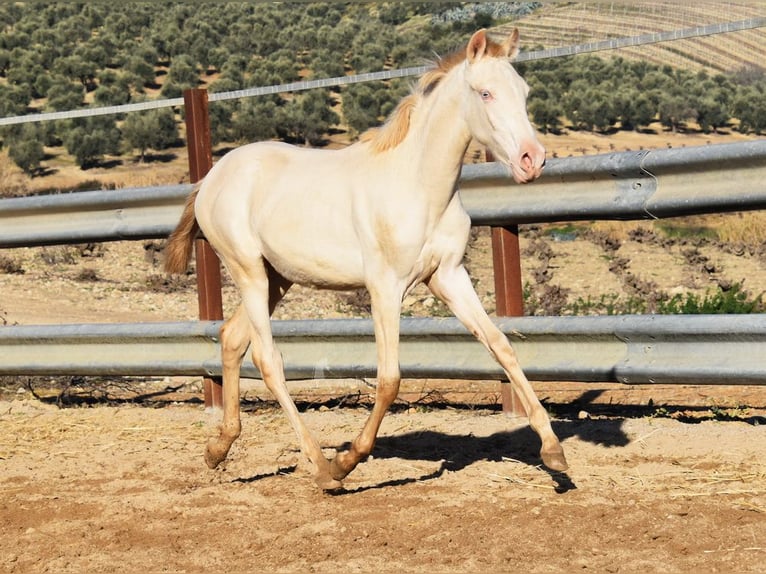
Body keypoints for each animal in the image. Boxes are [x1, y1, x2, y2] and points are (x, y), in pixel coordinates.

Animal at [165, 29, 568, 492]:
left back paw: (218, 449)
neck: (418, 185)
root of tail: (211, 178)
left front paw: (554, 451)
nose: (532, 160)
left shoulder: (448, 276)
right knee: (269, 361)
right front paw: (348, 460)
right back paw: (322, 468)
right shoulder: (386, 287)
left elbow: (502, 346)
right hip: (246, 270)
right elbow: (390, 379)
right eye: (485, 93)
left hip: (276, 277)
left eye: (524, 92)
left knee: (232, 337)